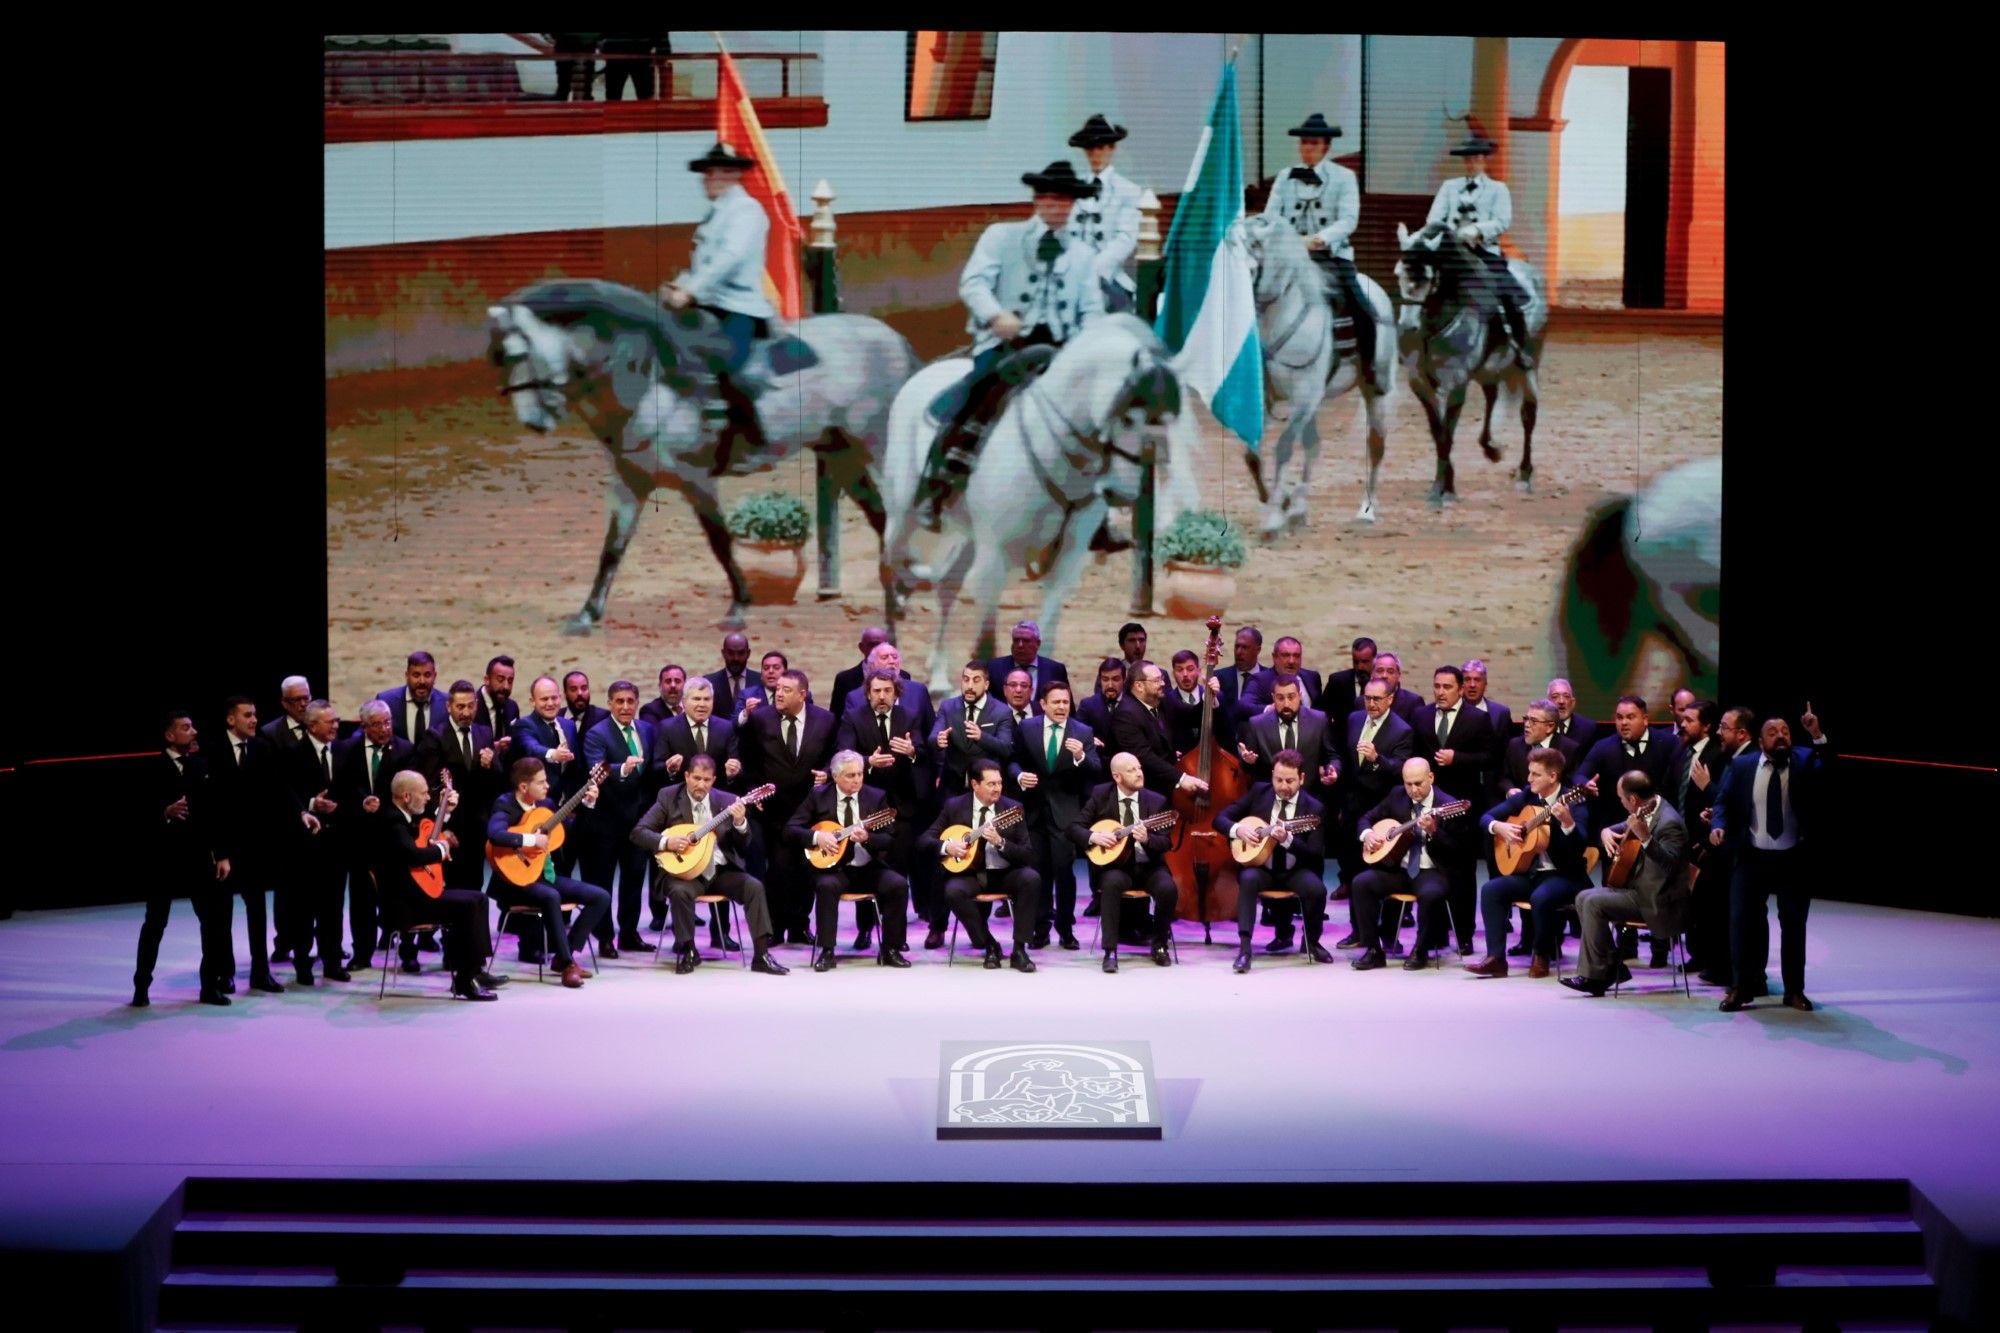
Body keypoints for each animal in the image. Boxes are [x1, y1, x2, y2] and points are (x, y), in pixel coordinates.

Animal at [484, 278, 920, 632]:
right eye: (500, 359)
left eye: (519, 353)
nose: (533, 422)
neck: (650, 382)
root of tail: (891, 338)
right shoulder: (630, 481)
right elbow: (612, 548)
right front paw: (587, 614)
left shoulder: (696, 480)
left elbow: (720, 541)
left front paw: (739, 608)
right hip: (841, 452)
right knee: (880, 516)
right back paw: (898, 595)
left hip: (876, 447)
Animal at [884, 314, 1192, 684]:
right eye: (1128, 417)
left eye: (1164, 423)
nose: (1122, 493)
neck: (1056, 454)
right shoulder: (995, 560)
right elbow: (986, 645)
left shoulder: (1065, 564)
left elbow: (1047, 641)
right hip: (903, 513)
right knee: (891, 566)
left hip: (971, 537)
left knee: (947, 585)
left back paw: (940, 675)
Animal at [1224, 213, 1400, 528]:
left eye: (1254, 245)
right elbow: (1252, 455)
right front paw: (1281, 501)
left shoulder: (1304, 396)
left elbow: (1283, 447)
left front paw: (1276, 516)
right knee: (1313, 446)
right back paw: (1299, 508)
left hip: (1375, 391)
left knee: (1376, 445)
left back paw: (1366, 509)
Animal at [1392, 220, 1544, 506]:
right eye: (1398, 274)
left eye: (1427, 277)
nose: (1407, 328)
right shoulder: (1419, 383)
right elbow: (1438, 432)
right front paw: (1444, 486)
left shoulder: (1457, 381)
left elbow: (1447, 434)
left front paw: (1442, 490)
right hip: (1488, 370)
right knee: (1492, 396)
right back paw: (1491, 448)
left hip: (1529, 364)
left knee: (1528, 415)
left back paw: (1524, 475)